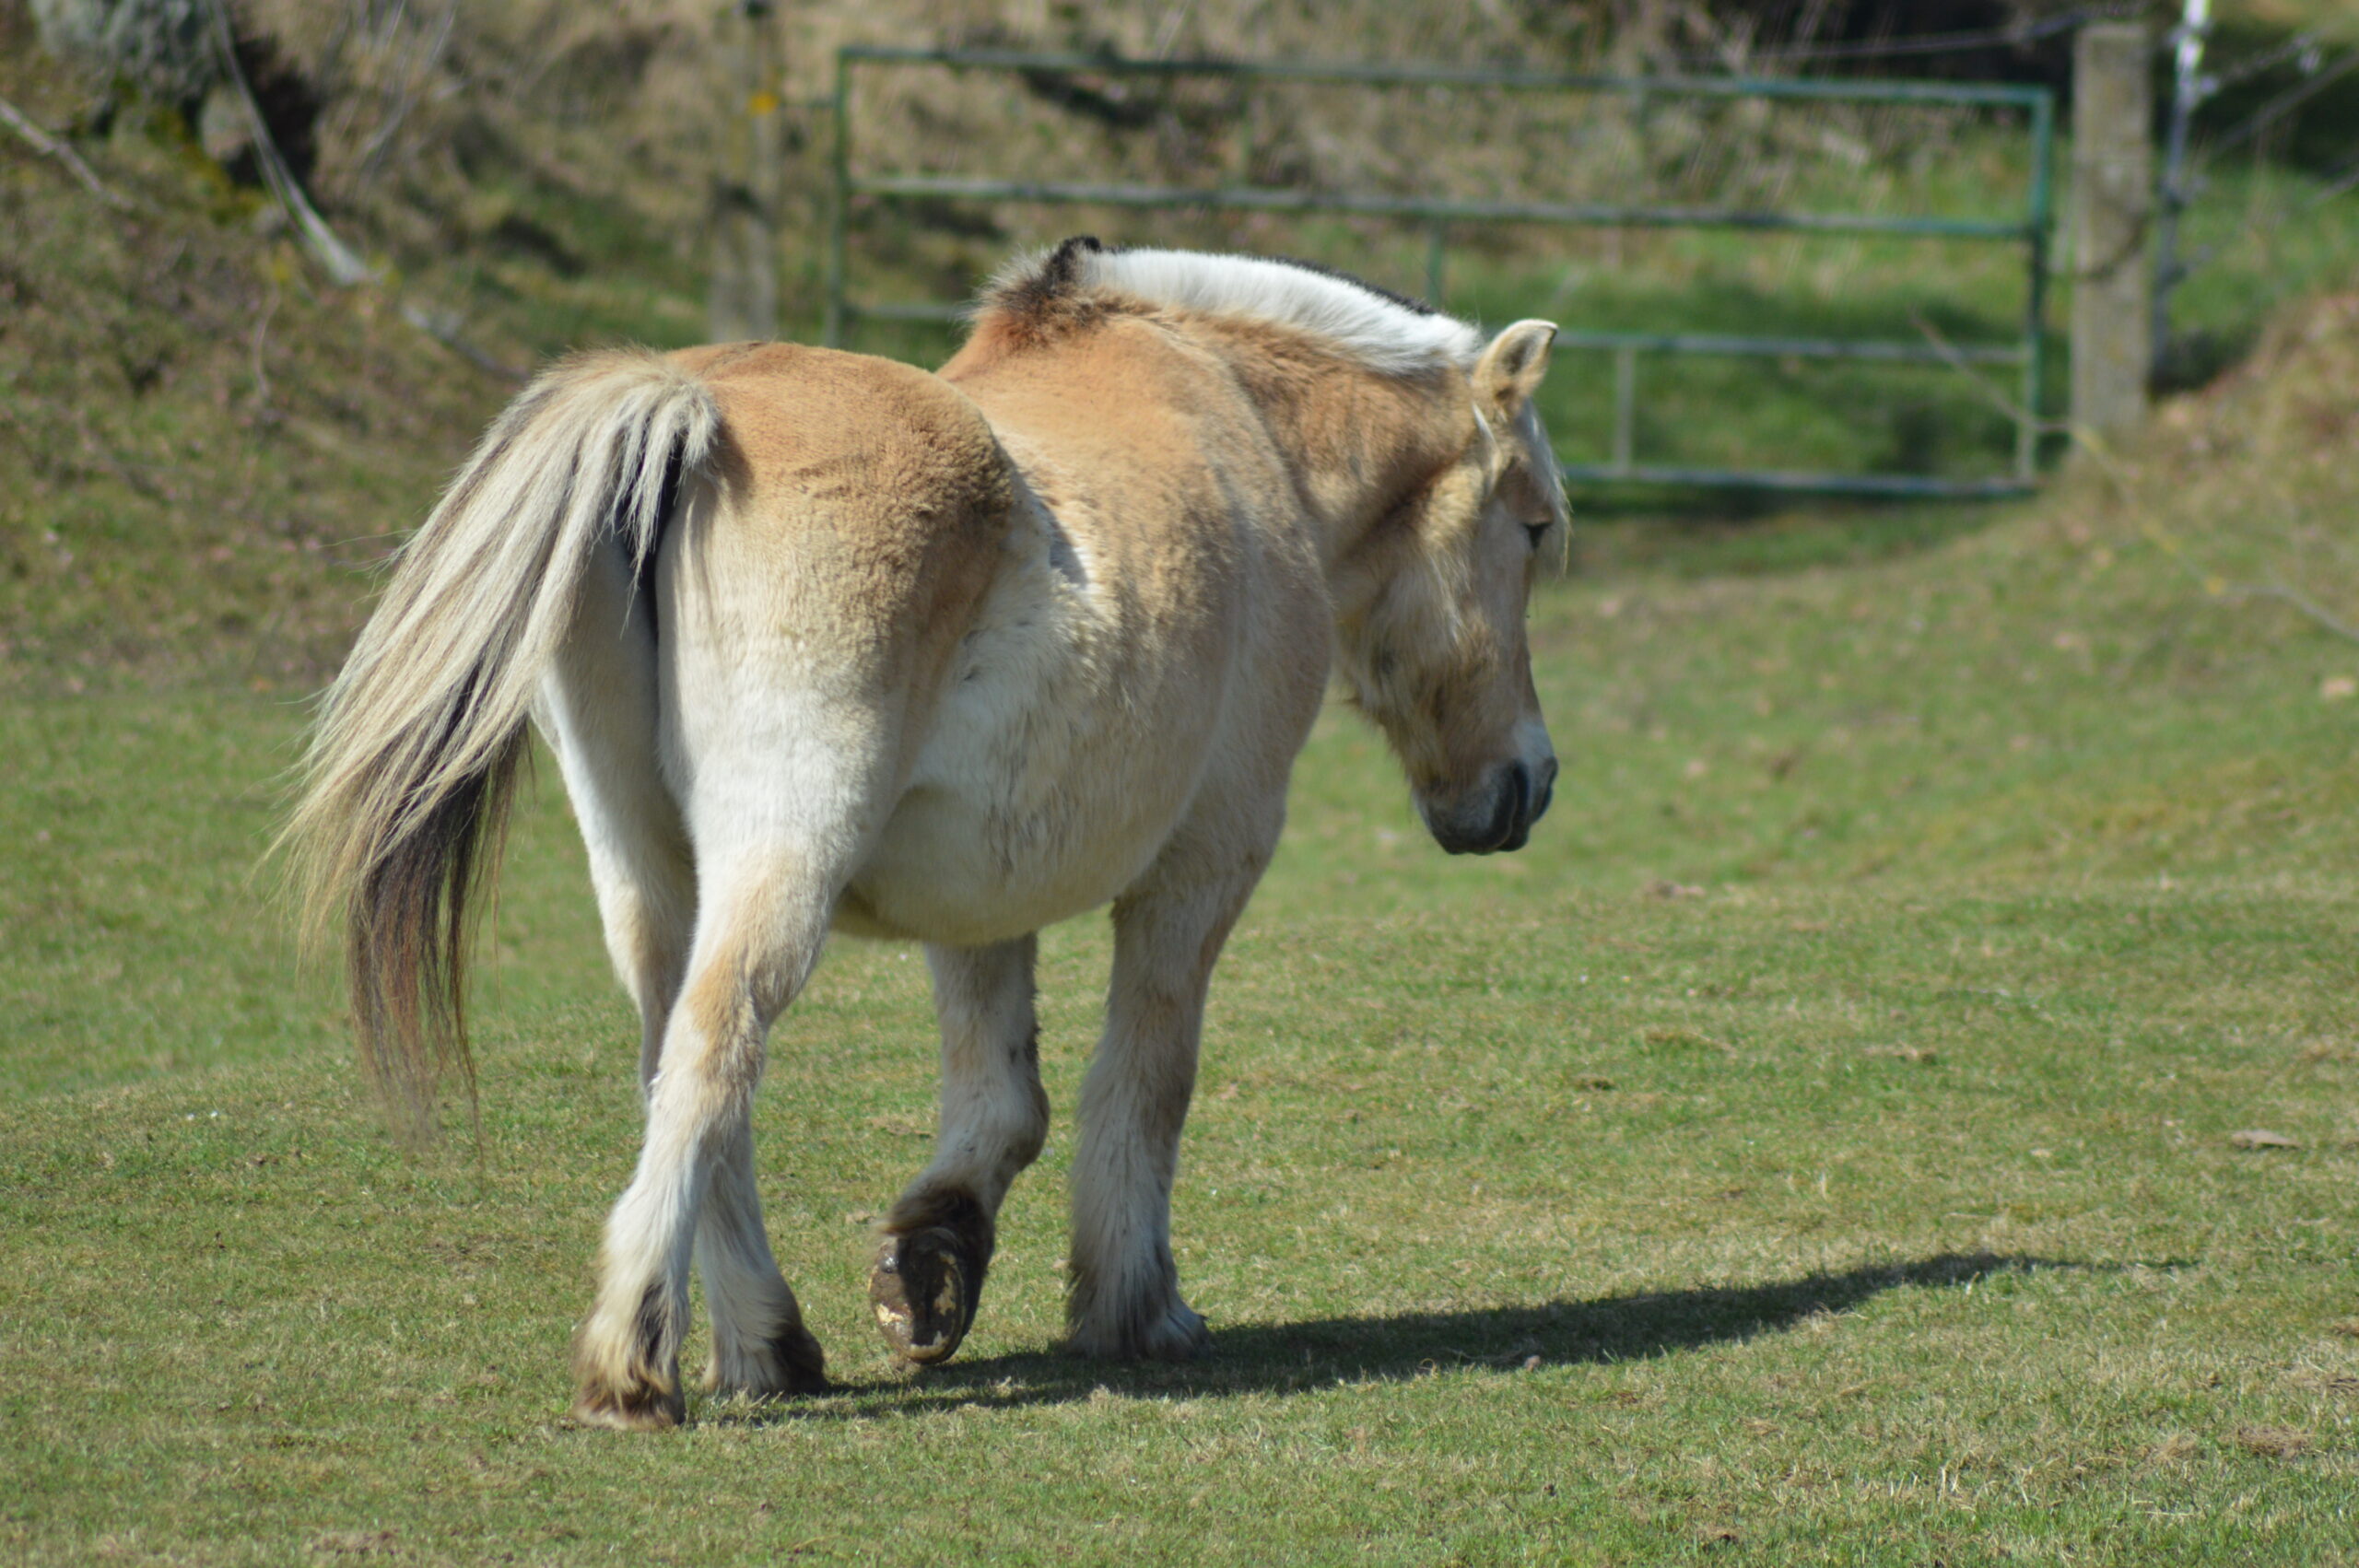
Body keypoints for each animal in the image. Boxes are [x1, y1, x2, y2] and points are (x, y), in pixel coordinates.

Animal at [289, 238, 1566, 1423]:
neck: (1240, 423)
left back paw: (767, 1344)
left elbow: (1003, 1098)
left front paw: (933, 1261)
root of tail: (692, 406)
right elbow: (1145, 1078)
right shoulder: (1206, 865)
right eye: (1538, 527)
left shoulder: (981, 887)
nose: (1530, 782)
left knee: (677, 1064)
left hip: (647, 874)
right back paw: (636, 1361)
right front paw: (1136, 1305)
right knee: (714, 1045)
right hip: (782, 856)